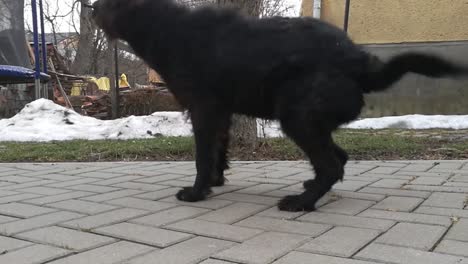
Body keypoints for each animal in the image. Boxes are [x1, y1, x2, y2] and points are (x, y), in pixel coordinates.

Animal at [92, 0, 468, 211]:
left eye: (108, 3)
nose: (90, 6)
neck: (166, 27)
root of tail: (359, 63)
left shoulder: (204, 110)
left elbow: (202, 156)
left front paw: (197, 192)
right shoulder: (222, 113)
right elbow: (218, 153)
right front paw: (215, 182)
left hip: (297, 118)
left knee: (332, 164)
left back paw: (301, 203)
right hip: (309, 120)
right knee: (339, 159)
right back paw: (309, 189)